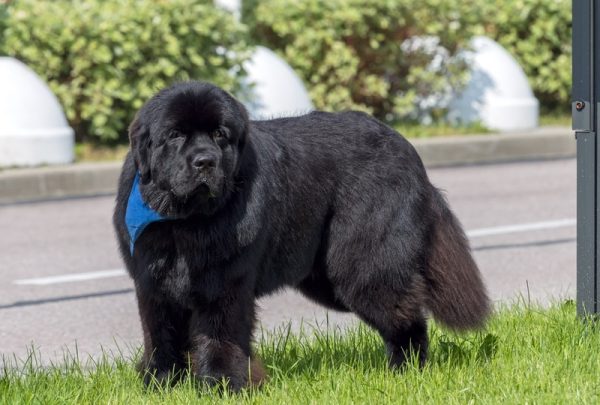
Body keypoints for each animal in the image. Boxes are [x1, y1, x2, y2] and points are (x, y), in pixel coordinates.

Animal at [115, 81, 490, 388]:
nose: (205, 161)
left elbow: (220, 335)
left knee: (405, 314)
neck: (184, 223)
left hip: (363, 264)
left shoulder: (225, 285)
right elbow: (161, 336)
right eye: (175, 135)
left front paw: (222, 384)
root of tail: (406, 147)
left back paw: (406, 370)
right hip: (326, 277)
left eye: (221, 134)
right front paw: (161, 384)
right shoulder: (153, 285)